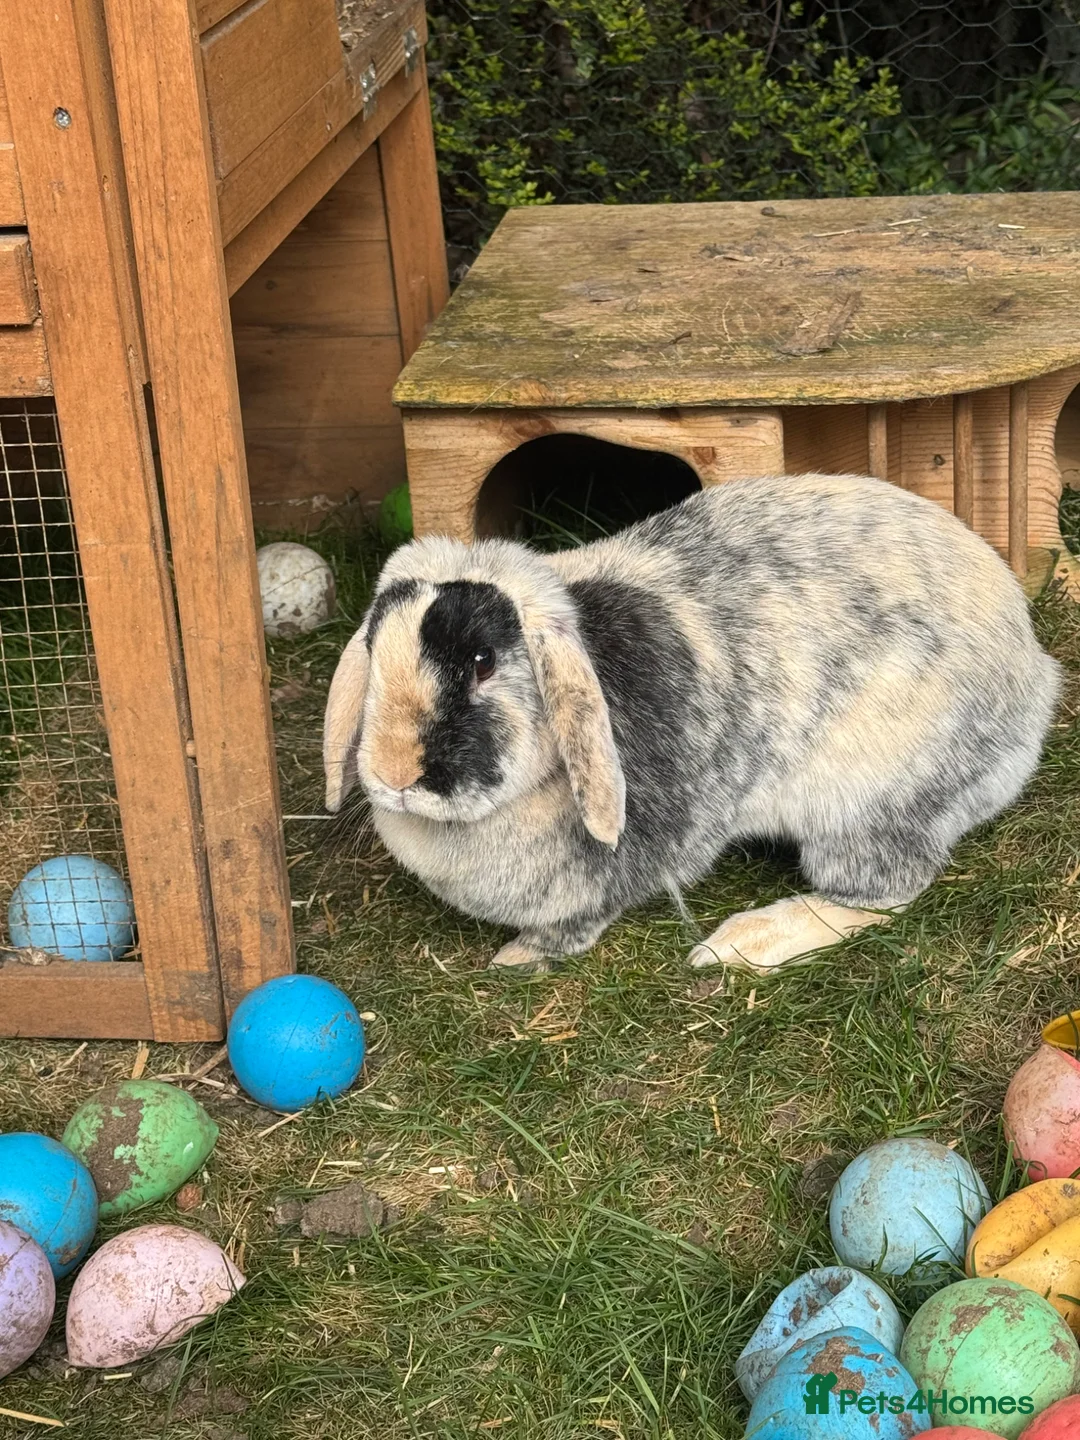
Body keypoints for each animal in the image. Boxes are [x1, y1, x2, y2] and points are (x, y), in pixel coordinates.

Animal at [323, 472, 1061, 975]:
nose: (395, 775)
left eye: (482, 662)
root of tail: (1034, 679)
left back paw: (735, 945)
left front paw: (519, 956)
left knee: (882, 894)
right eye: (374, 647)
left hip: (866, 805)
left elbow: (582, 918)